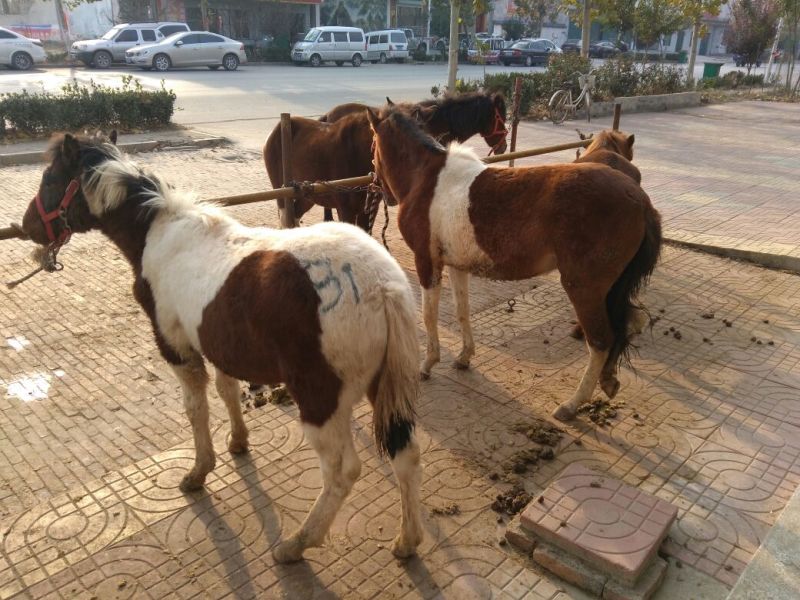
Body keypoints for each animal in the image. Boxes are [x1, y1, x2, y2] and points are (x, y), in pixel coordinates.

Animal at [20, 133, 424, 563]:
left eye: (49, 179)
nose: (28, 227)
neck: (158, 234)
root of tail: (383, 286)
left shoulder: (177, 347)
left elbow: (196, 408)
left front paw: (199, 472)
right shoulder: (217, 344)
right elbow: (227, 390)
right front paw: (238, 442)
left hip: (321, 401)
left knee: (341, 471)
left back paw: (296, 544)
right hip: (381, 386)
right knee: (406, 453)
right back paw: (407, 540)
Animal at [263, 92, 508, 229]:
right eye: (500, 116)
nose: (504, 146)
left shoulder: (366, 207)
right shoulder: (346, 209)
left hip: (306, 195)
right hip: (282, 193)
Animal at [367, 107, 662, 422]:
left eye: (372, 144)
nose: (378, 186)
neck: (427, 178)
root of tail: (640, 200)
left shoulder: (427, 262)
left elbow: (428, 316)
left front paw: (428, 364)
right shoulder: (457, 265)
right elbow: (462, 311)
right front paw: (464, 356)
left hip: (584, 289)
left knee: (601, 340)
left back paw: (571, 404)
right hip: (610, 290)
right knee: (625, 325)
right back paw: (607, 381)